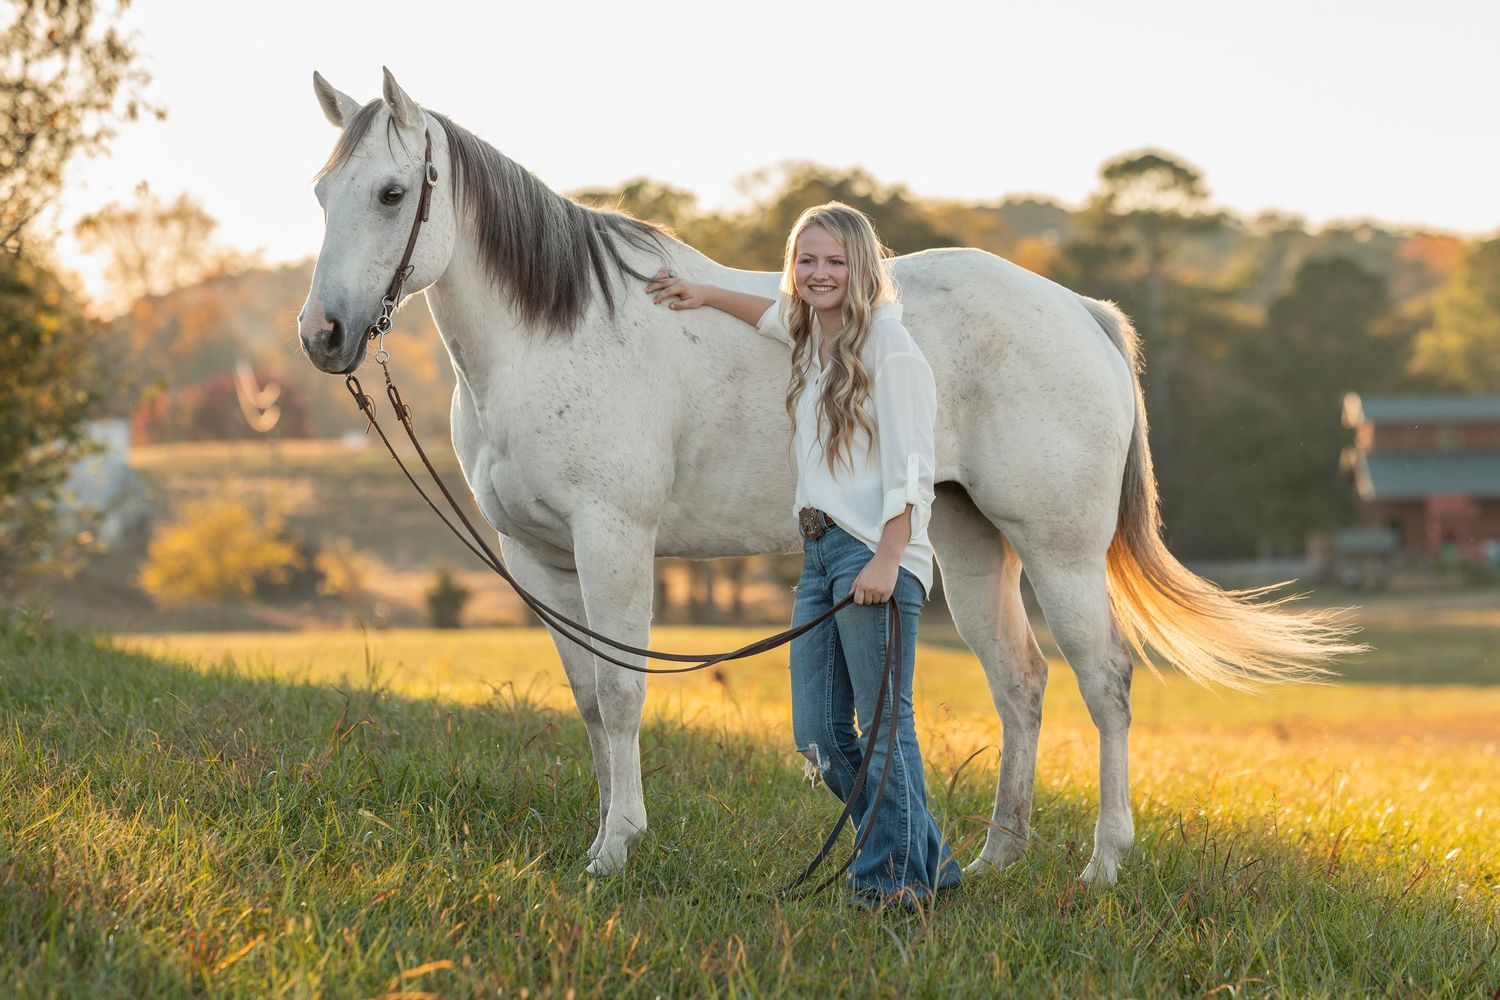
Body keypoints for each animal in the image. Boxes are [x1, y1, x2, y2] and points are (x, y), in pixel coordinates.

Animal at [297, 68, 1357, 883]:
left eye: (389, 193)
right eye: (320, 192)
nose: (324, 336)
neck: (555, 334)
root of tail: (1080, 311)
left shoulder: (613, 540)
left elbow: (627, 694)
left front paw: (617, 850)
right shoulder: (537, 558)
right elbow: (592, 703)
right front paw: (606, 837)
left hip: (1059, 551)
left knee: (1106, 683)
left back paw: (1102, 864)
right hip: (970, 544)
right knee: (1020, 683)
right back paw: (993, 860)